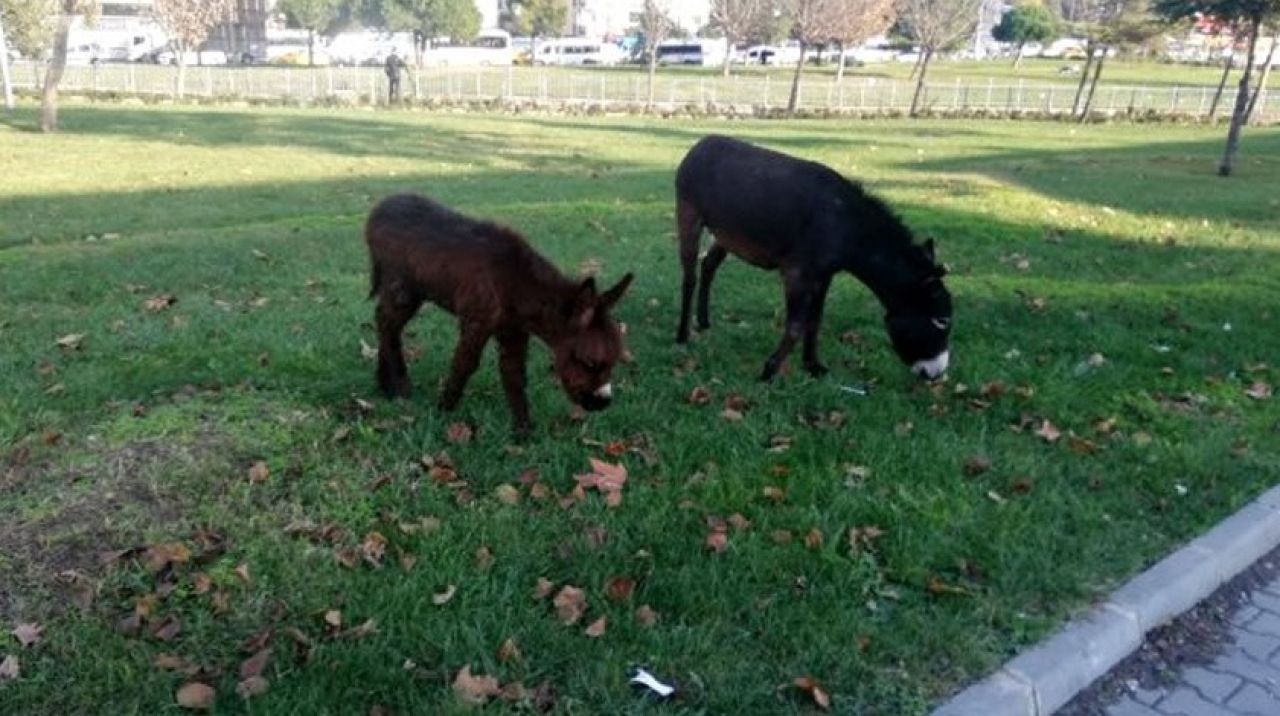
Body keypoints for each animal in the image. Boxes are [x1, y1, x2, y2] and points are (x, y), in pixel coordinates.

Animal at [366, 193, 634, 435]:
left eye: (615, 360)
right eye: (590, 362)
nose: (603, 403)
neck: (516, 285)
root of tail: (379, 207)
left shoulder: (513, 332)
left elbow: (514, 376)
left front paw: (523, 434)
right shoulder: (476, 321)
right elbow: (464, 365)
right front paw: (442, 411)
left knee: (386, 323)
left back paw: (384, 384)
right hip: (402, 289)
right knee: (387, 325)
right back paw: (399, 387)